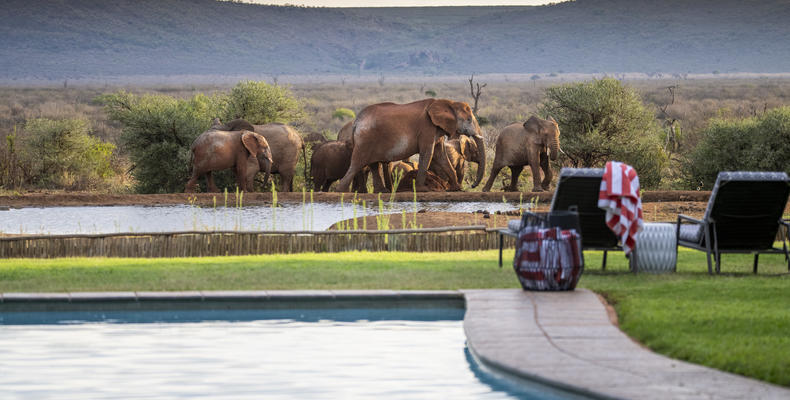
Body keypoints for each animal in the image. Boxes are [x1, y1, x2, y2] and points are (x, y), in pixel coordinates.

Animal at [336, 98, 485, 192]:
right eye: (469, 119)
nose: (473, 185)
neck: (449, 103)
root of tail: (356, 122)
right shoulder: (426, 128)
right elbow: (428, 153)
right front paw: (422, 190)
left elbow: (440, 155)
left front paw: (456, 189)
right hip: (365, 141)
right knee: (357, 164)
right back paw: (342, 191)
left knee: (374, 165)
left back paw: (382, 192)